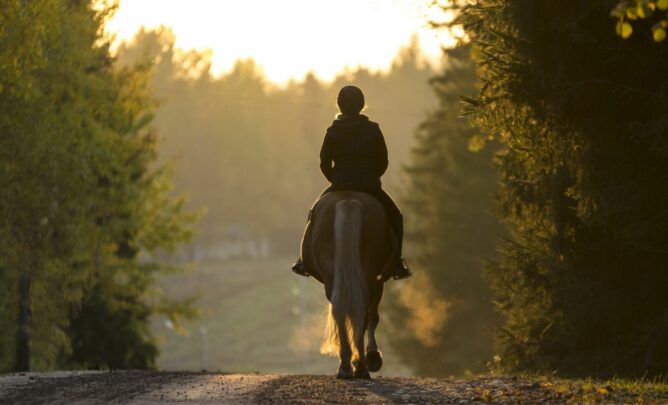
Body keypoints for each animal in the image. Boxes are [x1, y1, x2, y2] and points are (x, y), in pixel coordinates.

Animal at [300, 191, 394, 378]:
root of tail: (348, 200)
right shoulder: (379, 281)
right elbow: (373, 317)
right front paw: (372, 356)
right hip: (370, 275)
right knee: (363, 312)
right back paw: (360, 366)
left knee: (341, 311)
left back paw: (346, 366)